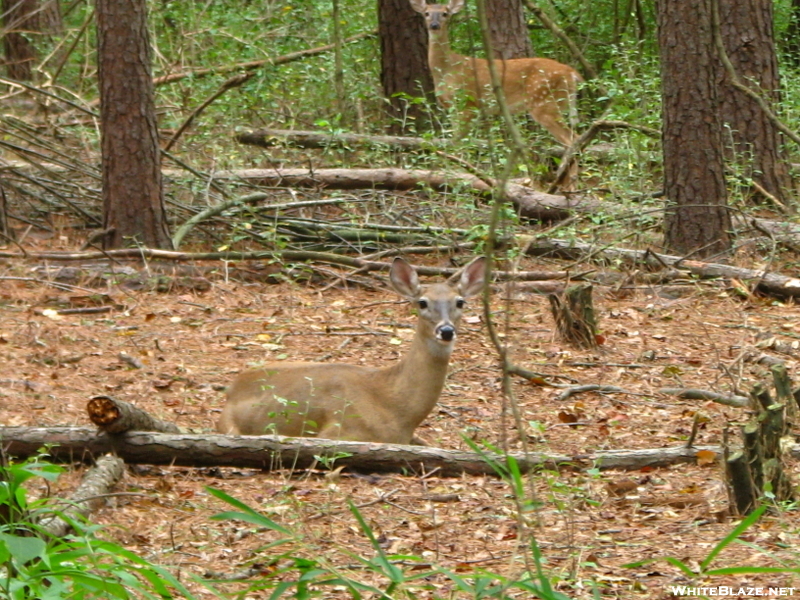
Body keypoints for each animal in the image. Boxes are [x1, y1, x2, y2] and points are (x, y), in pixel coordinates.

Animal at [216, 258, 484, 446]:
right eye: (422, 302)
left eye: (460, 302)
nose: (446, 330)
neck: (398, 410)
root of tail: (231, 389)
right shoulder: (338, 430)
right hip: (228, 426)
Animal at [412, 0, 580, 148]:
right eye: (426, 13)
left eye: (445, 13)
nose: (434, 25)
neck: (447, 69)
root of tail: (571, 72)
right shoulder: (451, 106)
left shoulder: (468, 102)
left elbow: (458, 142)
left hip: (544, 100)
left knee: (572, 139)